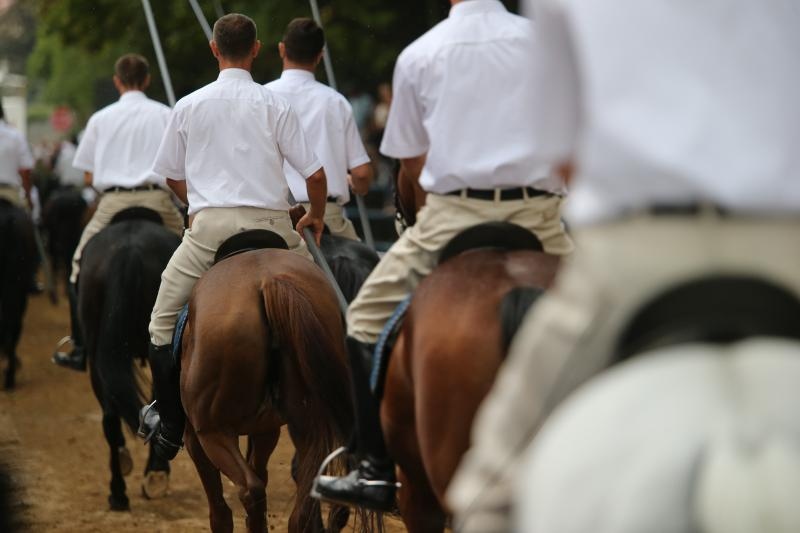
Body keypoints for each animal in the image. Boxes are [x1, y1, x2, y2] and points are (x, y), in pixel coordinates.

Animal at [179, 242, 373, 533]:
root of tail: (270, 281)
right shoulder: (266, 429)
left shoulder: (194, 436)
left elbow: (220, 508)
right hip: (306, 422)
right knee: (300, 498)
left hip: (212, 431)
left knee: (250, 489)